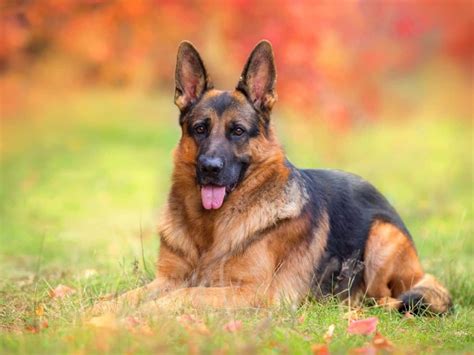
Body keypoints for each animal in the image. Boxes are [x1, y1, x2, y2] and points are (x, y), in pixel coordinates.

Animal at [91, 40, 452, 316]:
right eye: (200, 129)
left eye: (237, 131)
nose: (210, 168)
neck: (209, 230)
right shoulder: (166, 279)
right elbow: (130, 294)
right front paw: (101, 309)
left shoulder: (251, 291)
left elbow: (184, 295)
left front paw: (147, 312)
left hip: (381, 237)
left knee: (385, 298)